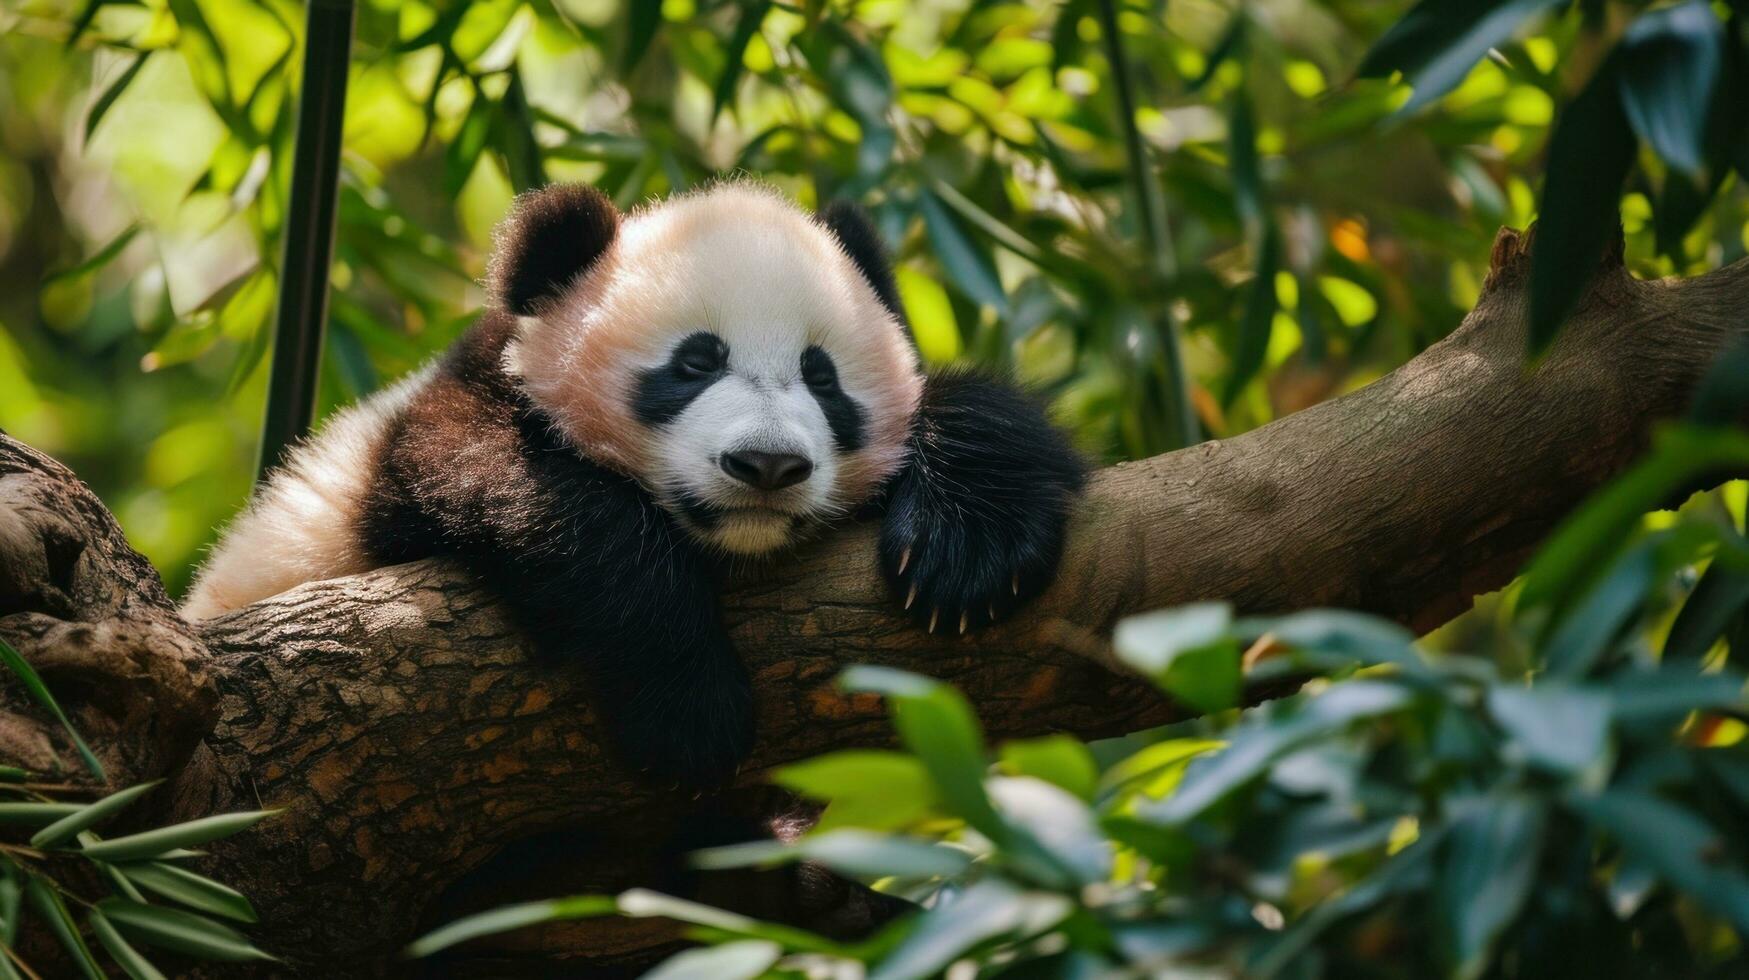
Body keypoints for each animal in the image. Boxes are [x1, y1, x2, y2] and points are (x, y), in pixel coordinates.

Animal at [181, 180, 1077, 784]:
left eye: (822, 378)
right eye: (694, 363)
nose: (766, 466)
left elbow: (989, 420)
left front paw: (965, 555)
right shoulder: (426, 438)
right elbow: (530, 497)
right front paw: (690, 708)